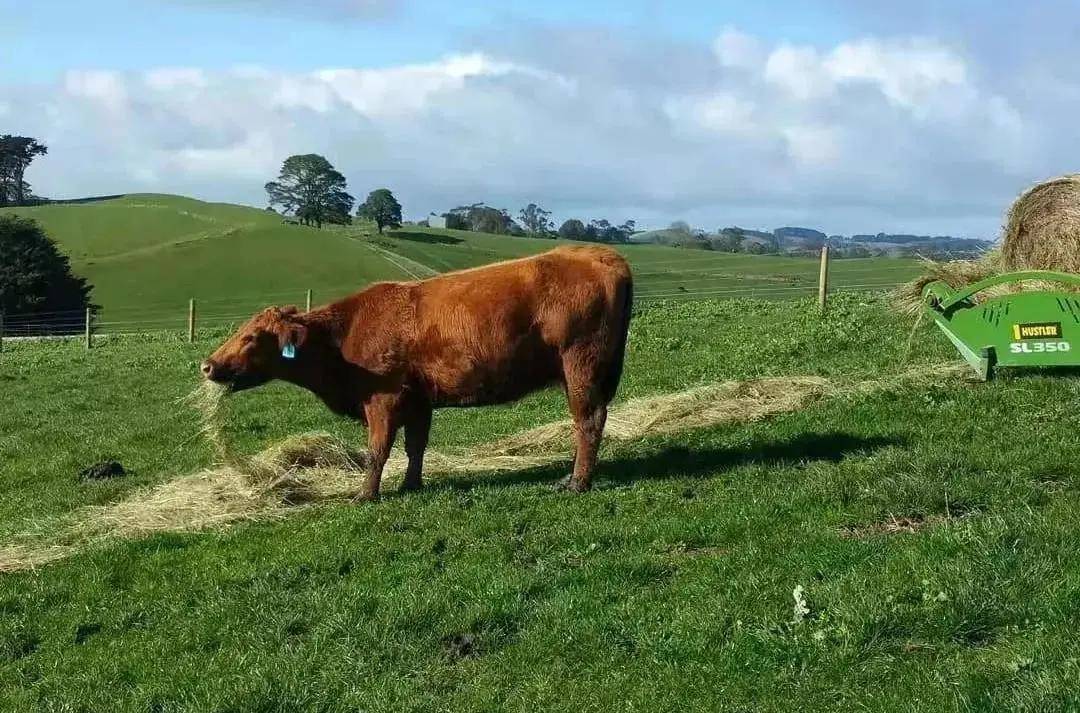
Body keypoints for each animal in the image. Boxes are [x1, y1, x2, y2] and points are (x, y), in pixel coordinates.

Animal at [203, 247, 630, 499]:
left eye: (251, 337)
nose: (207, 365)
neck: (343, 335)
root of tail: (599, 254)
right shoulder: (418, 401)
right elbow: (415, 446)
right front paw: (412, 484)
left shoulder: (383, 400)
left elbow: (377, 451)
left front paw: (365, 495)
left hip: (581, 367)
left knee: (588, 421)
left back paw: (578, 482)